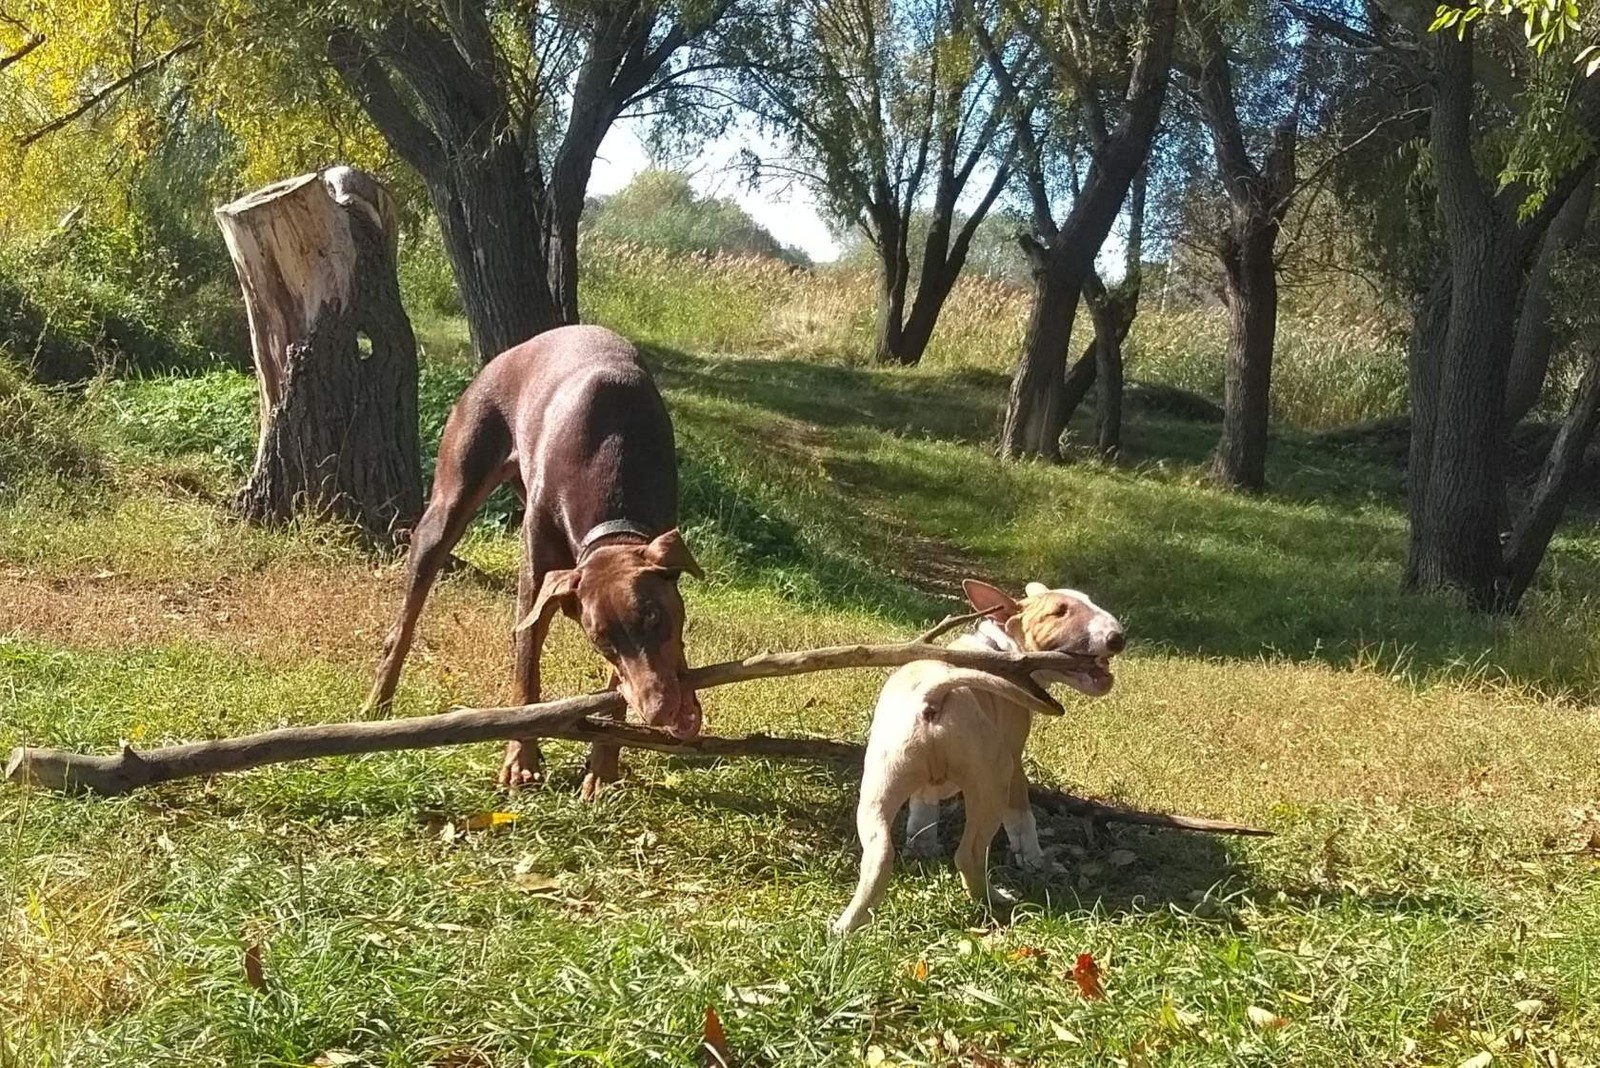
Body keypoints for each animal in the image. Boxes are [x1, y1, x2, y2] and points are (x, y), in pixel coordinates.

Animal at [374, 322, 707, 793]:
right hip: (451, 493)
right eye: (602, 641)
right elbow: (527, 665)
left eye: (655, 618)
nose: (659, 711)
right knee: (406, 617)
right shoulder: (538, 571)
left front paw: (603, 767)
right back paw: (379, 701)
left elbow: (616, 689)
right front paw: (521, 758)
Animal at [832, 575, 1120, 933]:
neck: (999, 647)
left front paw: (923, 845)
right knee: (968, 854)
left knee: (879, 857)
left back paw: (844, 927)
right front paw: (1036, 861)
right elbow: (1022, 820)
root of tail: (933, 693)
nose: (1118, 638)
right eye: (1059, 611)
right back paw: (996, 899)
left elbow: (924, 808)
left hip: (879, 784)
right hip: (993, 779)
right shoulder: (1015, 760)